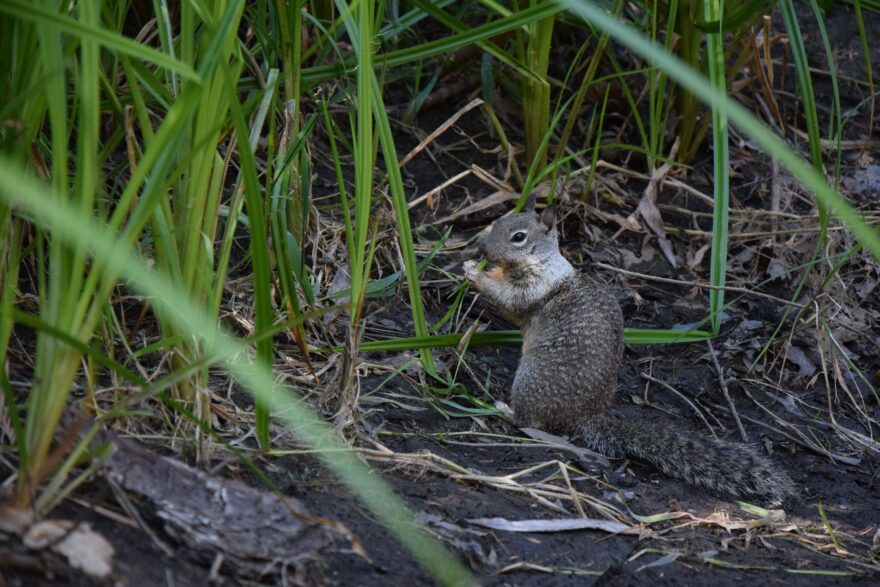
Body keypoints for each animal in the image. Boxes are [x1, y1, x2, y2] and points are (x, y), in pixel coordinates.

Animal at [464, 200, 796, 504]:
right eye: (499, 220)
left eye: (518, 237)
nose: (481, 248)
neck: (543, 261)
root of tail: (585, 416)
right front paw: (482, 267)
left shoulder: (534, 288)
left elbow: (508, 299)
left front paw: (474, 274)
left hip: (530, 382)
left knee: (529, 421)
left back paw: (503, 409)